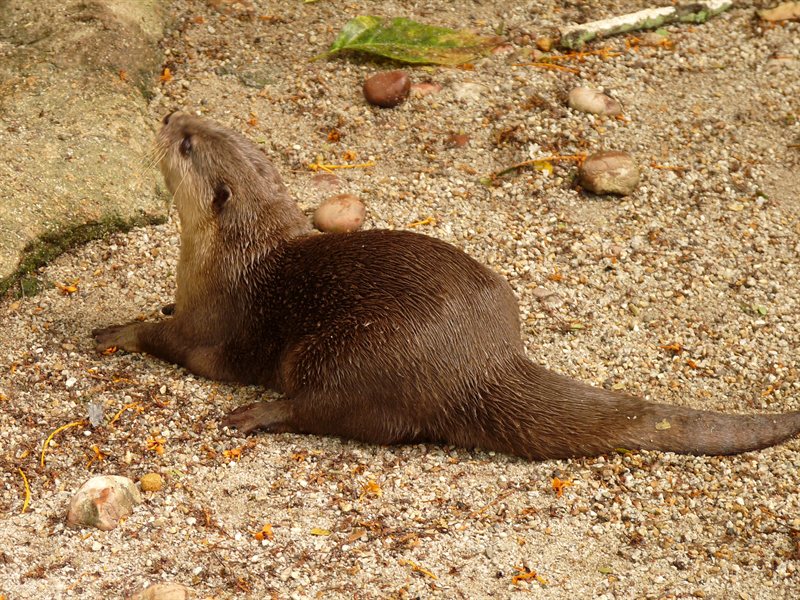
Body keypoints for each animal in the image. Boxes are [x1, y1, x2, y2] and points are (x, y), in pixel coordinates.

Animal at [92, 112, 800, 460]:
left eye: (187, 143)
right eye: (202, 126)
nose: (169, 112)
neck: (227, 255)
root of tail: (481, 365)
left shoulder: (213, 322)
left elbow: (170, 340)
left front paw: (117, 329)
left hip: (349, 354)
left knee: (326, 409)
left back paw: (255, 414)